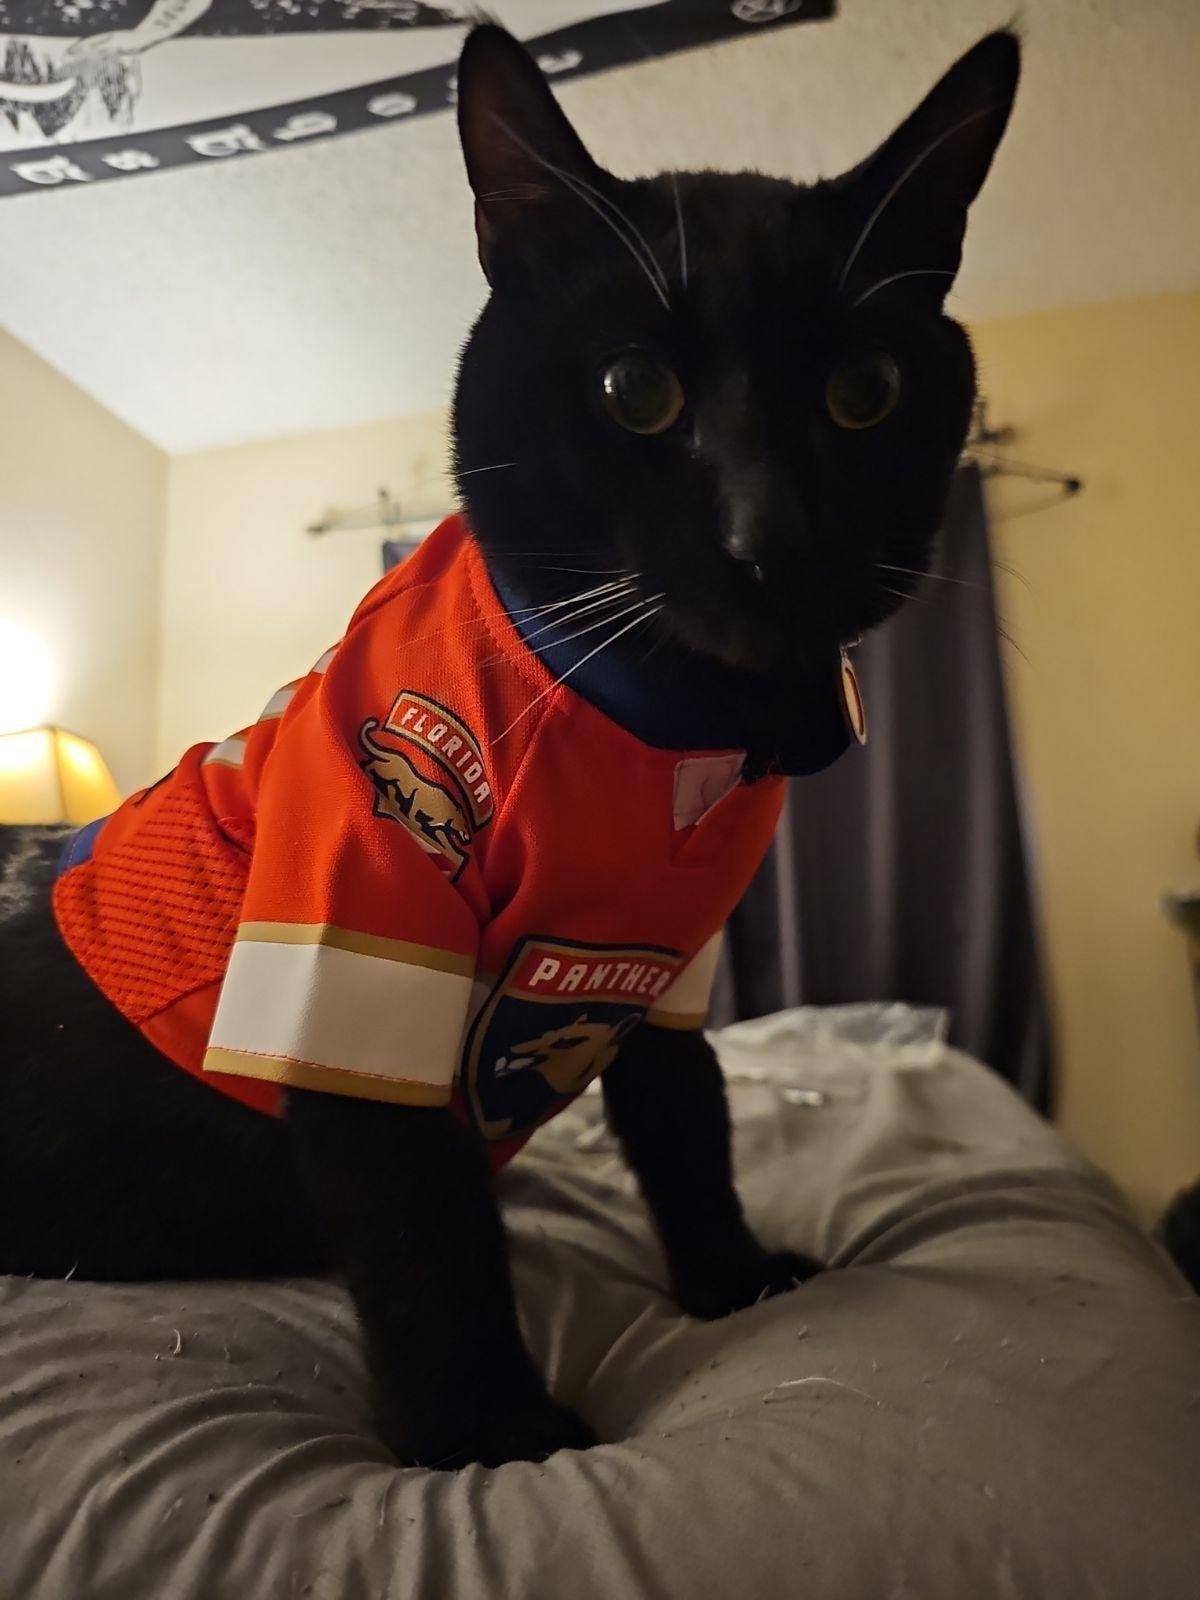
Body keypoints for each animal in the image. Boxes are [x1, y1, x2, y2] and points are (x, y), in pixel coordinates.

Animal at [0, 23, 1019, 1470]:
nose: (767, 536)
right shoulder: (357, 954)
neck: (658, 727)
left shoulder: (666, 964)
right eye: (634, 389)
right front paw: (486, 1433)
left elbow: (689, 1121)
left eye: (863, 391)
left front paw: (732, 1278)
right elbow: (428, 1238)